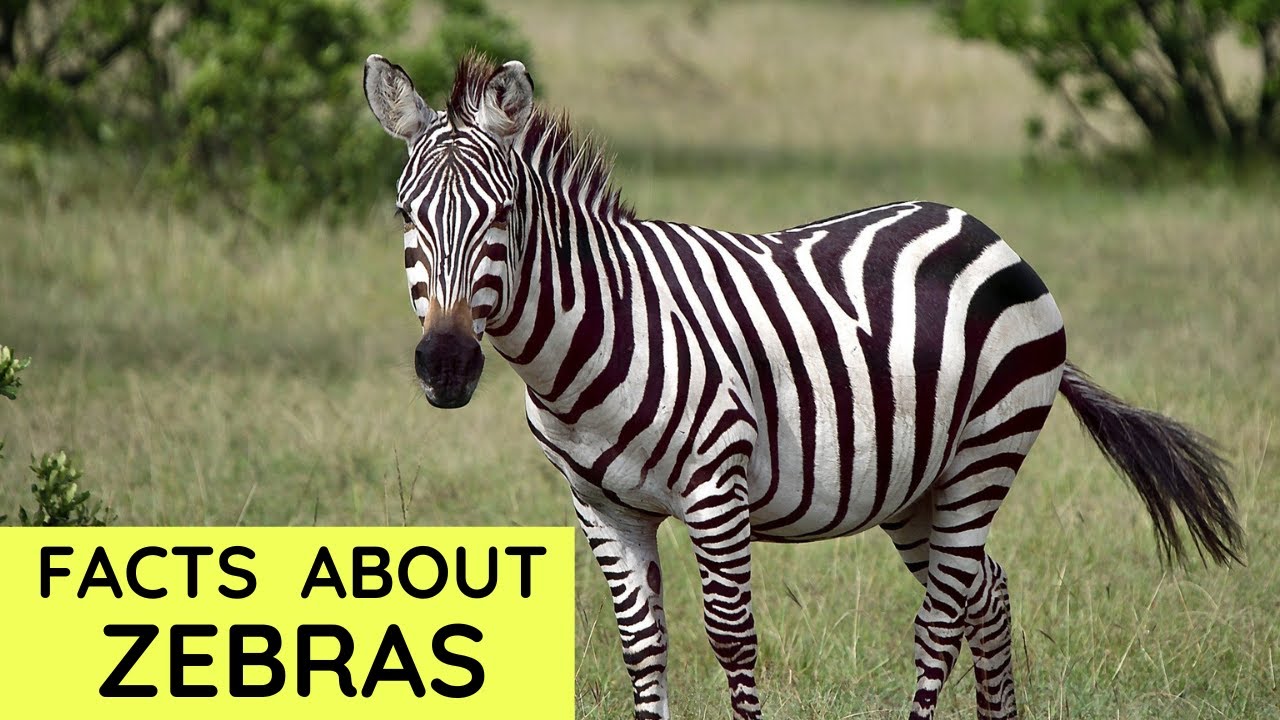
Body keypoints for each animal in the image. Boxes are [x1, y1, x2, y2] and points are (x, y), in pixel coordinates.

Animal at [362, 52, 1243, 719]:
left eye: (504, 214)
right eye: (405, 216)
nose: (447, 365)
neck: (590, 341)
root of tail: (986, 231)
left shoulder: (716, 490)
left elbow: (731, 637)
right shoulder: (601, 507)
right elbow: (642, 647)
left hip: (983, 455)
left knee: (941, 619)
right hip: (916, 484)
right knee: (984, 593)